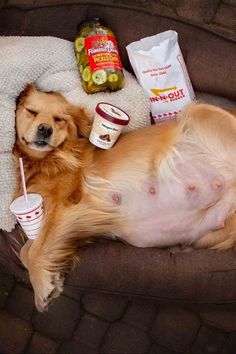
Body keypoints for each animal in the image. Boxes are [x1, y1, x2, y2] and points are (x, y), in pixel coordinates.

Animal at [13, 84, 236, 312]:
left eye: (59, 119)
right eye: (31, 112)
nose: (45, 129)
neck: (46, 162)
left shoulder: (67, 206)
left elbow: (34, 249)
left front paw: (42, 286)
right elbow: (26, 249)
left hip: (200, 111)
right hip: (212, 230)